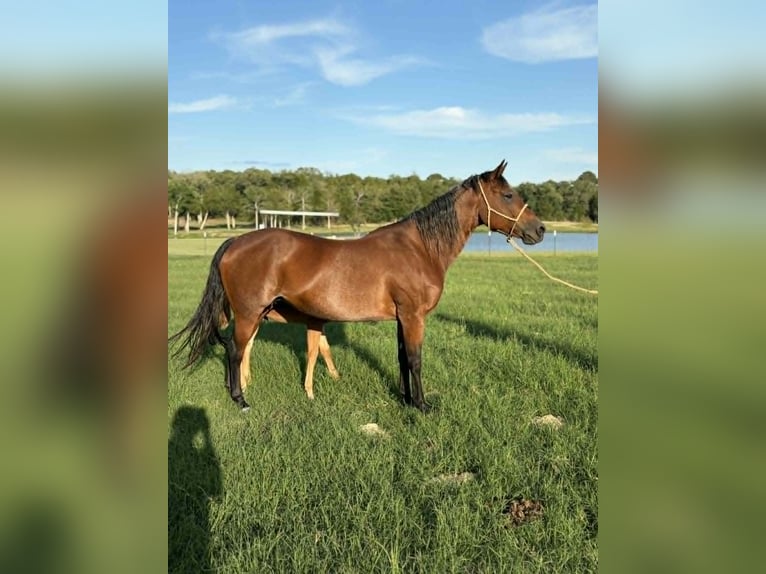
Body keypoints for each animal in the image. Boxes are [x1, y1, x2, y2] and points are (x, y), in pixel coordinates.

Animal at [170, 160, 545, 412]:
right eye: (508, 194)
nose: (539, 229)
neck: (419, 247)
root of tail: (236, 241)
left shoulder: (402, 318)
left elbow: (402, 358)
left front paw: (406, 399)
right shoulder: (414, 316)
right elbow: (416, 359)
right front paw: (422, 406)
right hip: (249, 315)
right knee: (235, 351)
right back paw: (241, 400)